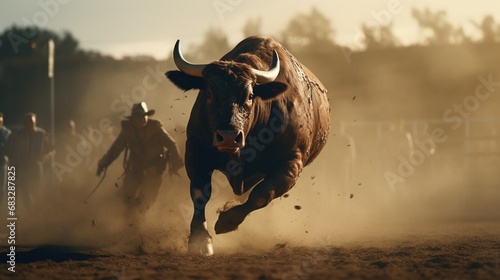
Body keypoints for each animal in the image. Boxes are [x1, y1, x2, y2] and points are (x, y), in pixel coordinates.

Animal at [166, 36, 330, 255]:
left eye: (250, 96)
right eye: (209, 93)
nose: (228, 137)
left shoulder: (291, 164)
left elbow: (261, 195)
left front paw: (226, 221)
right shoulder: (196, 149)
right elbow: (200, 193)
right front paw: (200, 239)